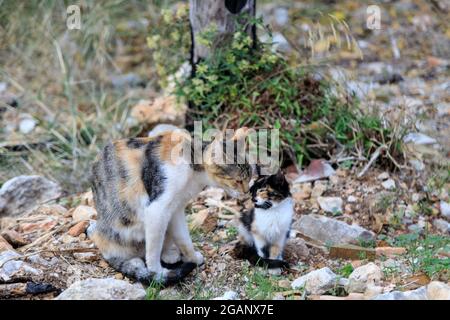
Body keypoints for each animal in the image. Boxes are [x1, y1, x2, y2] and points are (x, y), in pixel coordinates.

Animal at [90, 126, 253, 286]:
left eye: (249, 176)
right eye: (238, 180)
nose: (247, 191)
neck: (192, 166)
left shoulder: (175, 208)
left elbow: (183, 238)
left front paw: (193, 258)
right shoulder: (157, 209)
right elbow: (153, 248)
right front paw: (157, 272)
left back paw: (170, 255)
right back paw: (138, 264)